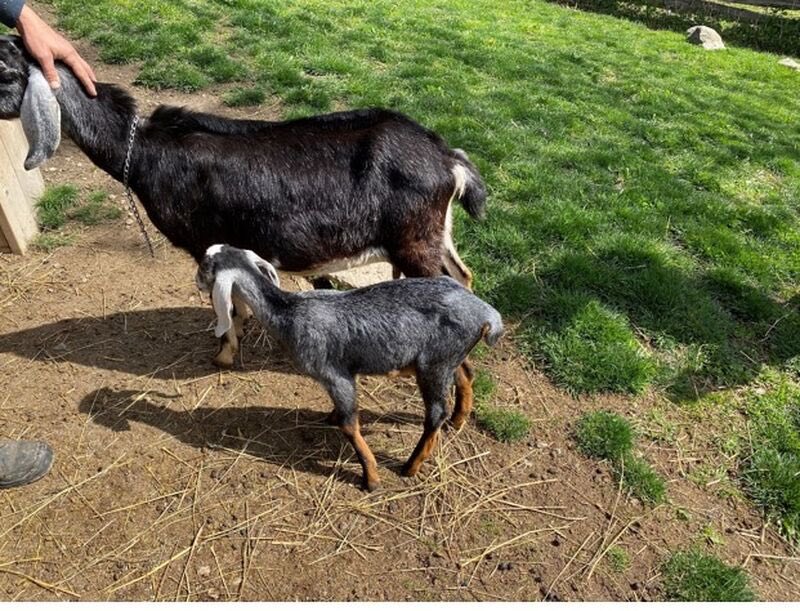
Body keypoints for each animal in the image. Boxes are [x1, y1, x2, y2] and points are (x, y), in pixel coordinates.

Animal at [0, 36, 488, 367]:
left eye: (6, 71)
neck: (142, 150)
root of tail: (448, 159)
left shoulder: (204, 242)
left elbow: (225, 304)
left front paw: (224, 352)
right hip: (435, 234)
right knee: (463, 276)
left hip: (414, 239)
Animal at [196, 244, 503, 491]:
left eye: (205, 266)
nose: (196, 281)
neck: (289, 312)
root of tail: (487, 314)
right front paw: (330, 417)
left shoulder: (335, 374)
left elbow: (349, 424)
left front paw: (371, 479)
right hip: (449, 356)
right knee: (466, 375)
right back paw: (458, 420)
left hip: (434, 365)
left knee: (436, 414)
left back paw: (410, 466)